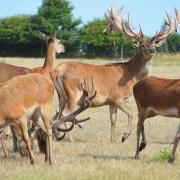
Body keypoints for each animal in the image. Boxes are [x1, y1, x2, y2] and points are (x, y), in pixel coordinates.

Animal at [55, 5, 177, 143]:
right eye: (142, 45)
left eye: (154, 43)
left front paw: (112, 140)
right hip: (73, 93)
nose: (152, 50)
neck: (131, 76)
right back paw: (70, 139)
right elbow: (131, 113)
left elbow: (113, 119)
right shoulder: (117, 96)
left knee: (59, 111)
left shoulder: (111, 101)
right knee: (66, 113)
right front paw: (124, 136)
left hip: (61, 95)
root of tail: (58, 69)